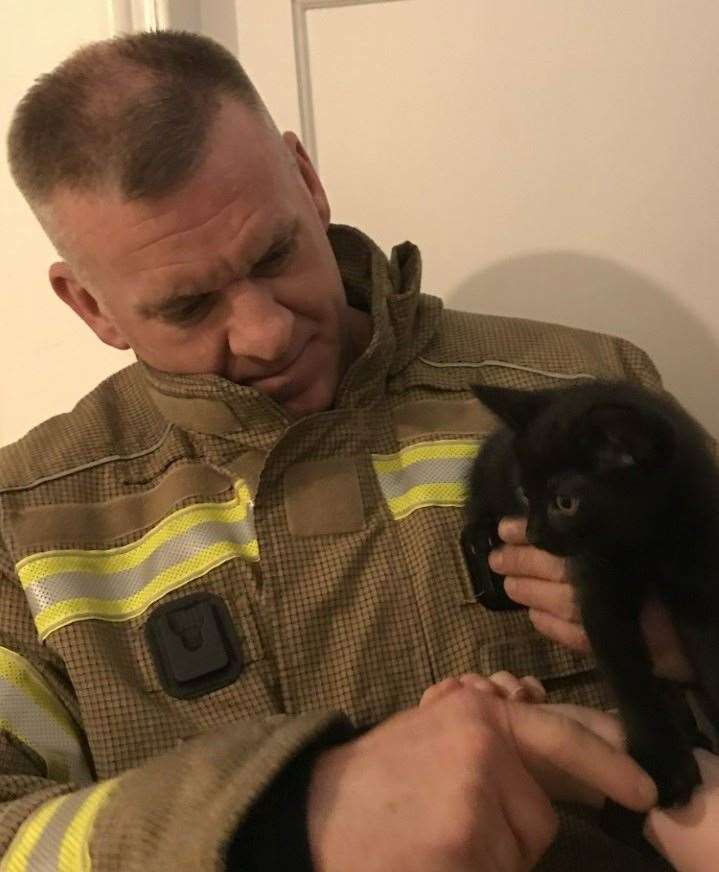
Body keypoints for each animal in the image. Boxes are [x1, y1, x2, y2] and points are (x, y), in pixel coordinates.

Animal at [466, 378, 719, 808]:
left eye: (565, 502)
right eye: (525, 493)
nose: (533, 535)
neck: (645, 537)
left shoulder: (699, 574)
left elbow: (710, 652)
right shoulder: (600, 591)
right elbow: (629, 675)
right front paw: (665, 765)